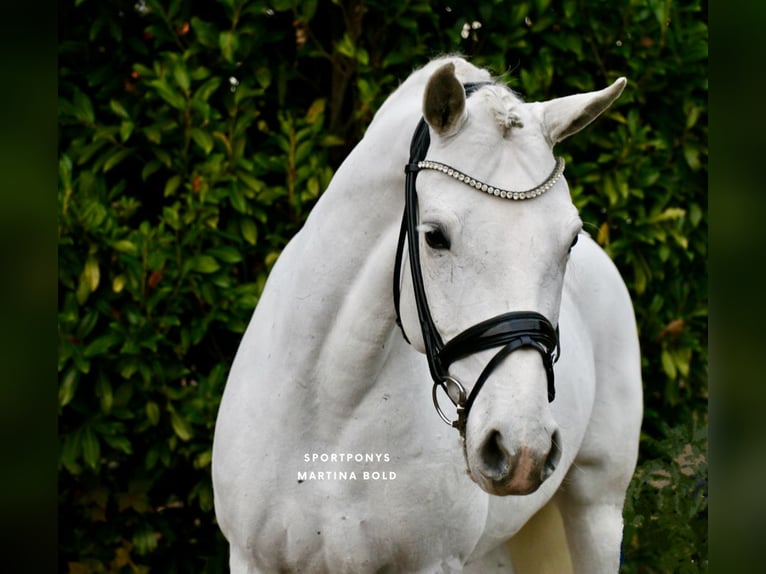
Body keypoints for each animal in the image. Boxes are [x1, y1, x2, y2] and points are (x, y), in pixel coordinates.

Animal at [212, 56, 643, 573]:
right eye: (435, 236)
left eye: (571, 239)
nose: (521, 449)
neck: (328, 415)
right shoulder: (250, 558)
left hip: (597, 510)